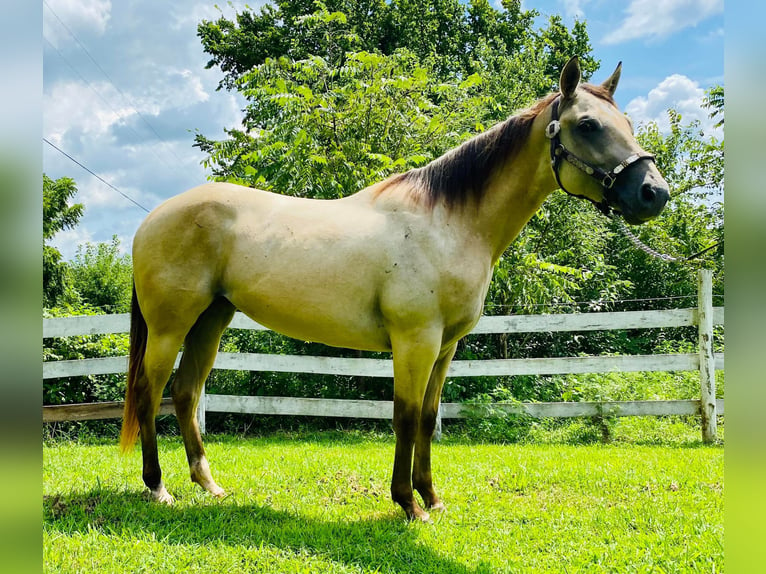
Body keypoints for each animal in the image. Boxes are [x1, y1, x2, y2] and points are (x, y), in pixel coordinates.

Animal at [120, 57, 672, 520]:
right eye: (588, 125)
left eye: (628, 125)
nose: (655, 193)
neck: (447, 222)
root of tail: (152, 219)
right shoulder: (415, 340)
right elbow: (404, 418)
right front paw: (408, 504)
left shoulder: (445, 347)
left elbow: (426, 418)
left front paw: (432, 497)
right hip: (170, 327)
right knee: (150, 392)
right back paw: (158, 487)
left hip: (211, 320)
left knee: (186, 393)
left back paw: (209, 485)